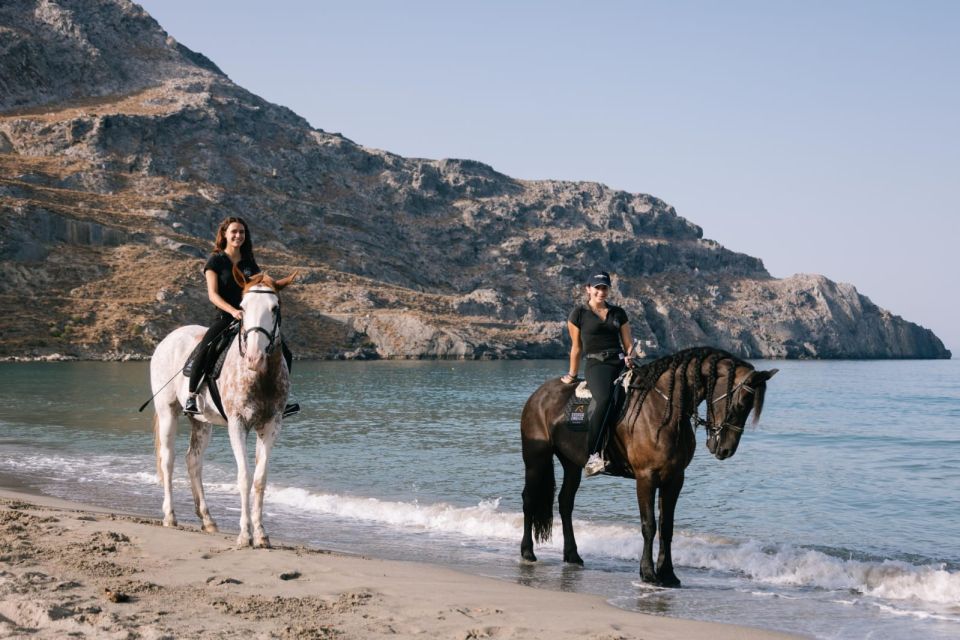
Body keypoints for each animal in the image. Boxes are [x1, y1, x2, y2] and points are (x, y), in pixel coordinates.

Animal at [147, 264, 292, 544]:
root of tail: (168, 338)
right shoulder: (237, 424)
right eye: (243, 306)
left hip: (201, 421)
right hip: (167, 411)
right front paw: (245, 534)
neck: (260, 377)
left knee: (193, 461)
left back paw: (207, 519)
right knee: (168, 460)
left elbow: (260, 479)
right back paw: (170, 516)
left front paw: (261, 533)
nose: (255, 357)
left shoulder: (271, 425)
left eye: (275, 307)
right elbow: (244, 477)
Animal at [520, 348, 776, 588]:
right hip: (536, 459)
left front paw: (669, 574)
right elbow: (649, 525)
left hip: (571, 464)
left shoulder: (674, 478)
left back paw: (572, 555)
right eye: (741, 402)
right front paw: (649, 573)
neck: (666, 409)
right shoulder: (646, 478)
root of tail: (538, 394)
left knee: (565, 503)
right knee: (529, 499)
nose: (725, 449)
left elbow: (666, 527)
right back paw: (527, 552)